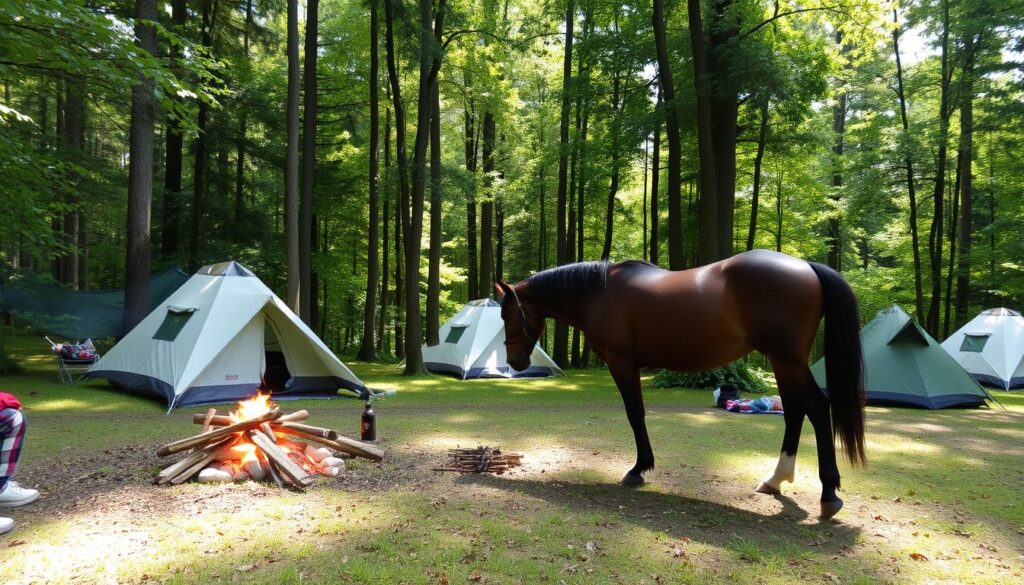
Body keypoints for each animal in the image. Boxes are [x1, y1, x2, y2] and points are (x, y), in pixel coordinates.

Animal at [495, 249, 864, 520]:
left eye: (507, 315)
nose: (516, 362)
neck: (599, 292)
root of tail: (806, 266)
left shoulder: (621, 362)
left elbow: (635, 413)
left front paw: (638, 469)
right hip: (780, 360)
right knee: (795, 412)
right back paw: (776, 480)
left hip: (787, 358)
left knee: (817, 408)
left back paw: (829, 494)